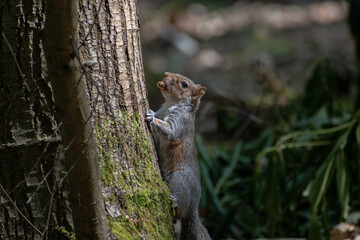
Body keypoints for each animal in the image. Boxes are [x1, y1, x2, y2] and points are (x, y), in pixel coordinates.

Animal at [146, 72, 211, 239]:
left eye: (184, 84)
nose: (165, 74)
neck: (170, 104)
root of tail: (193, 209)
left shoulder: (180, 123)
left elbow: (169, 132)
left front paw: (152, 119)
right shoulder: (162, 111)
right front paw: (151, 111)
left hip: (178, 179)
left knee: (179, 211)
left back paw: (173, 202)